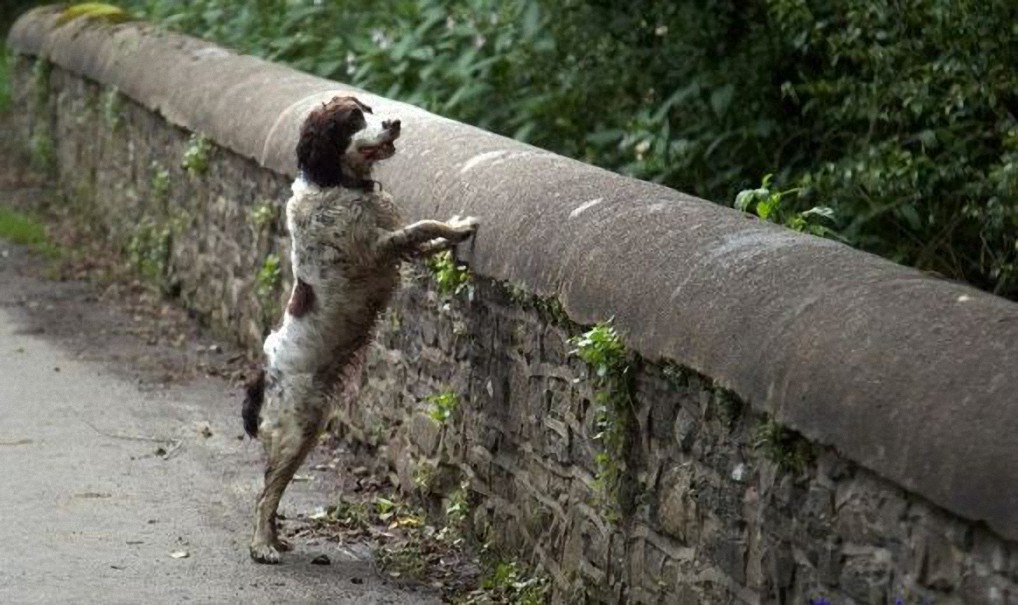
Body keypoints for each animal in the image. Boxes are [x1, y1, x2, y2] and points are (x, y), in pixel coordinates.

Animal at [241, 94, 476, 562]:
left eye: (368, 108)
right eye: (352, 119)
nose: (395, 121)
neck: (336, 183)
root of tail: (263, 378)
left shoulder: (388, 243)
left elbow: (424, 239)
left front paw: (452, 235)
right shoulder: (377, 248)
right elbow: (421, 227)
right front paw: (459, 227)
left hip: (309, 430)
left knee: (273, 490)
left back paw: (276, 538)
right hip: (294, 432)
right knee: (263, 496)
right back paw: (262, 546)